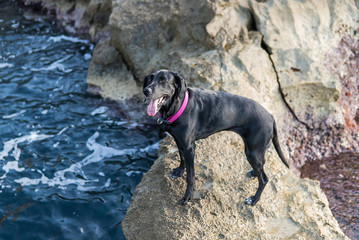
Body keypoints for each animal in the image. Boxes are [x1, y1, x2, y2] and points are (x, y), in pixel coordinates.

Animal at [143, 68, 290, 205]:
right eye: (149, 79)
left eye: (163, 81)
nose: (146, 91)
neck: (178, 107)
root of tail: (271, 116)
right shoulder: (180, 142)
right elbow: (181, 158)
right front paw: (179, 171)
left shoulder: (189, 148)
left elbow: (191, 176)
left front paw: (188, 196)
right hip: (256, 152)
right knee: (262, 166)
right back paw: (254, 173)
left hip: (252, 152)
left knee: (264, 179)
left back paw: (254, 199)